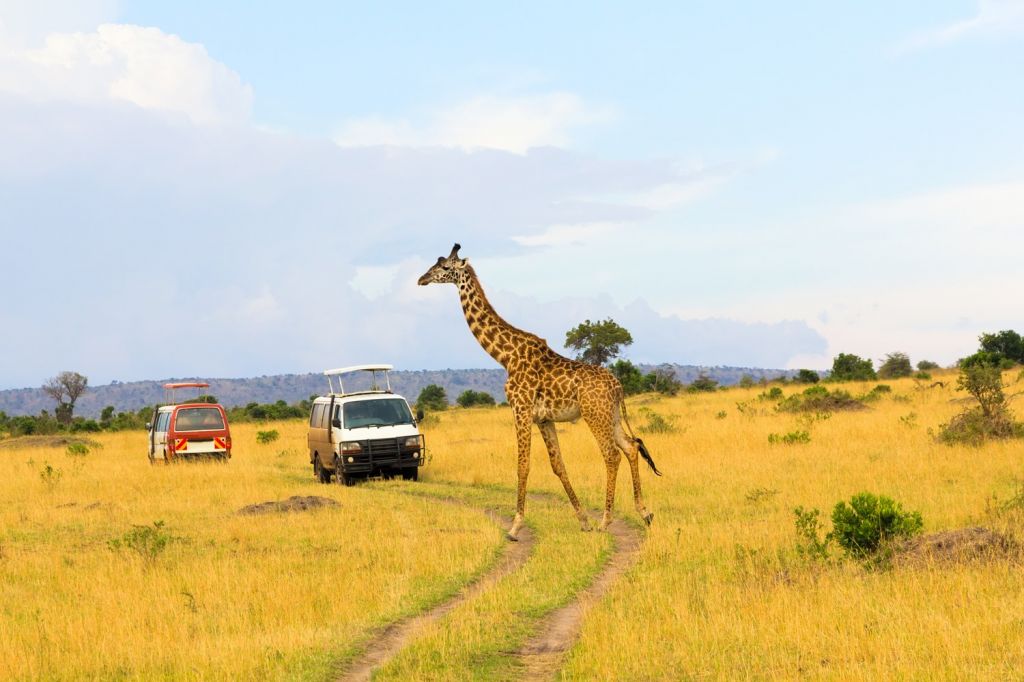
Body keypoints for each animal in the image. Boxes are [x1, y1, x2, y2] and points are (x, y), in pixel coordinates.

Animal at [417, 242, 663, 536]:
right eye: (436, 262)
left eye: (444, 266)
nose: (421, 279)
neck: (505, 356)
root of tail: (618, 386)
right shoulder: (544, 419)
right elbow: (558, 466)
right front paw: (583, 520)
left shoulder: (520, 409)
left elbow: (522, 465)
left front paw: (515, 526)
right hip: (611, 416)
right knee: (631, 447)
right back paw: (644, 512)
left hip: (595, 415)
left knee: (612, 455)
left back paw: (606, 520)